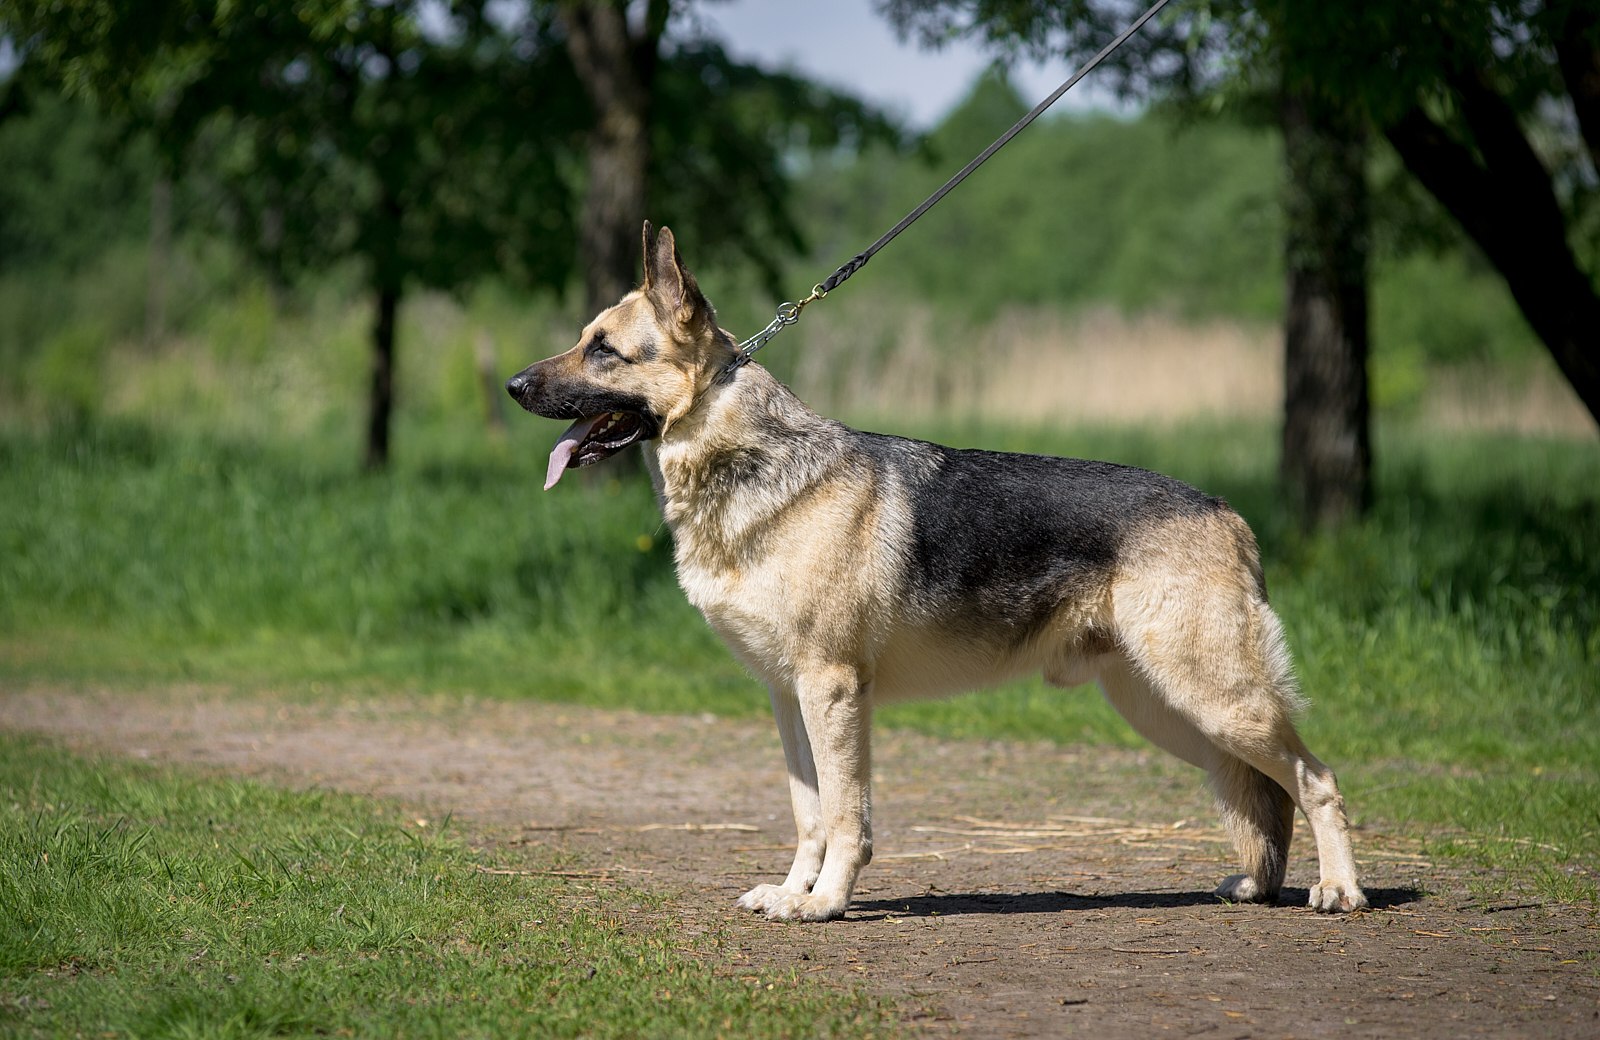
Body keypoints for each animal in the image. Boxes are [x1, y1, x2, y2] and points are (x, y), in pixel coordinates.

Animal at [505, 222, 1369, 921]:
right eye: (585, 339)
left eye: (605, 350)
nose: (512, 387)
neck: (747, 463)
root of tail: (1226, 511)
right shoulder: (789, 698)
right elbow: (809, 814)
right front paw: (792, 893)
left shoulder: (833, 691)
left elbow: (846, 816)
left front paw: (826, 904)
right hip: (1168, 710)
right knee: (1263, 790)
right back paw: (1257, 886)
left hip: (1214, 699)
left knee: (1315, 779)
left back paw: (1340, 890)